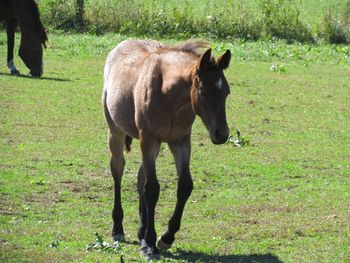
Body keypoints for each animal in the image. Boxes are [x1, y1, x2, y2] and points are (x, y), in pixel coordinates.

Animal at [102, 39, 231, 260]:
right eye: (204, 91)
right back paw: (118, 228)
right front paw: (149, 245)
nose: (221, 134)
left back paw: (141, 230)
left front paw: (165, 238)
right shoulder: (149, 139)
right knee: (118, 170)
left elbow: (185, 186)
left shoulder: (180, 142)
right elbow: (152, 189)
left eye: (227, 92)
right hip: (116, 132)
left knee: (140, 177)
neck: (170, 97)